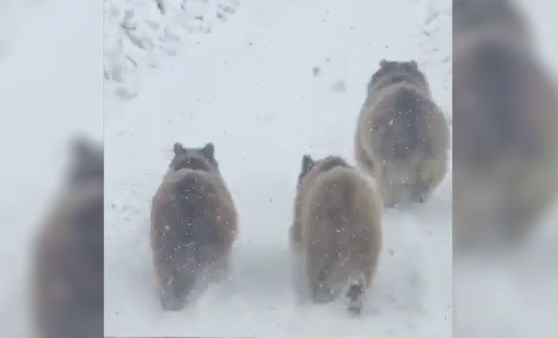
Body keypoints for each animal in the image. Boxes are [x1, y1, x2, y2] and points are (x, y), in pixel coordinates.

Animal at [290, 156, 382, 314]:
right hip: (366, 245)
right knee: (359, 280)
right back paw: (355, 303)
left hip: (319, 248)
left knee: (319, 281)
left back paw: (319, 300)